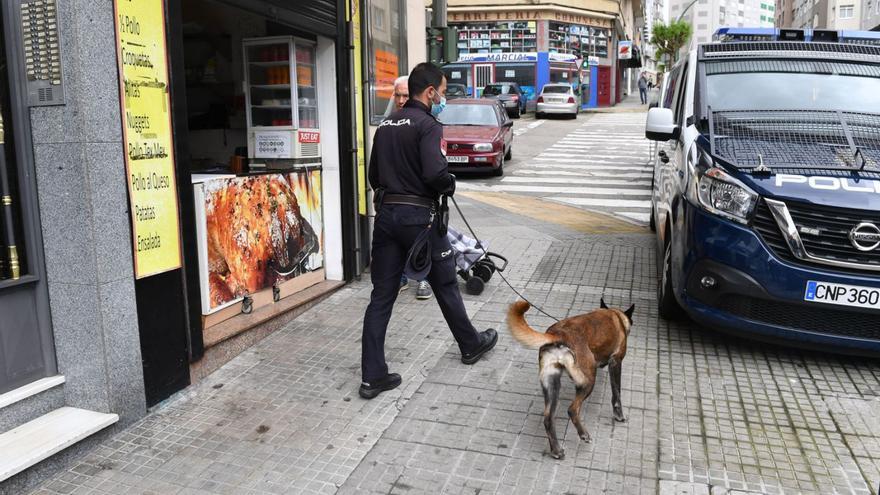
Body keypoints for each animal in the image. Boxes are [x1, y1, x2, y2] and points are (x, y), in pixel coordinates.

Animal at [506, 298, 636, 462]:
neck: (616, 315)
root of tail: (556, 334)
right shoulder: (616, 362)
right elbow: (616, 394)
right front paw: (619, 415)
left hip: (552, 383)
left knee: (548, 418)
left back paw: (556, 450)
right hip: (587, 379)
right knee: (572, 409)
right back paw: (583, 434)